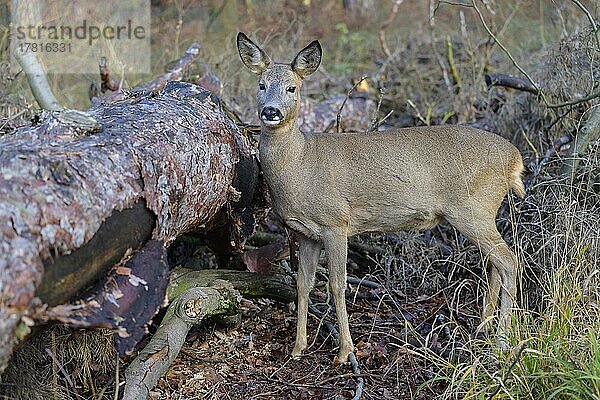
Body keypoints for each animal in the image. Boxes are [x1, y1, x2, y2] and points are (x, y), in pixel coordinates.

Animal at [237, 32, 524, 362]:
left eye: (291, 87)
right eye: (261, 84)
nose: (271, 112)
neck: (300, 163)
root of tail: (515, 159)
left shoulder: (336, 222)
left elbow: (337, 284)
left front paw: (344, 351)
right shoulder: (307, 233)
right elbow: (302, 284)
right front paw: (298, 348)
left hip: (472, 208)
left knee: (509, 261)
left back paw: (501, 339)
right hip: (482, 212)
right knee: (495, 263)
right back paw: (483, 328)